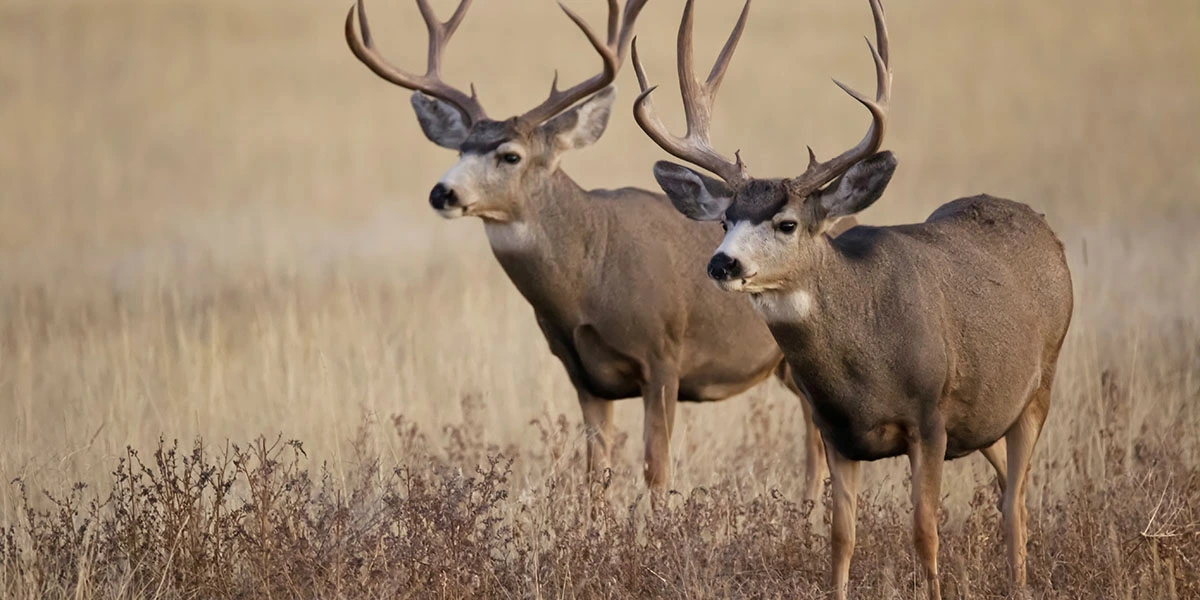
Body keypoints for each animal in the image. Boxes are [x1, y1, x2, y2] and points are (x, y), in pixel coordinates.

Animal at [344, 0, 845, 509]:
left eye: (510, 155)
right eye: (460, 149)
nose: (443, 192)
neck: (591, 278)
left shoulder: (663, 356)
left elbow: (656, 470)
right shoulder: (583, 375)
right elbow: (594, 475)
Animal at [629, 0, 1073, 597]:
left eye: (787, 222)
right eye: (725, 220)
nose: (723, 263)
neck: (865, 364)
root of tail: (1047, 231)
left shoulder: (930, 418)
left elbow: (925, 531)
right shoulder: (835, 430)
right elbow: (841, 538)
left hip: (1040, 383)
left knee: (1016, 503)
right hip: (988, 412)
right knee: (1009, 489)